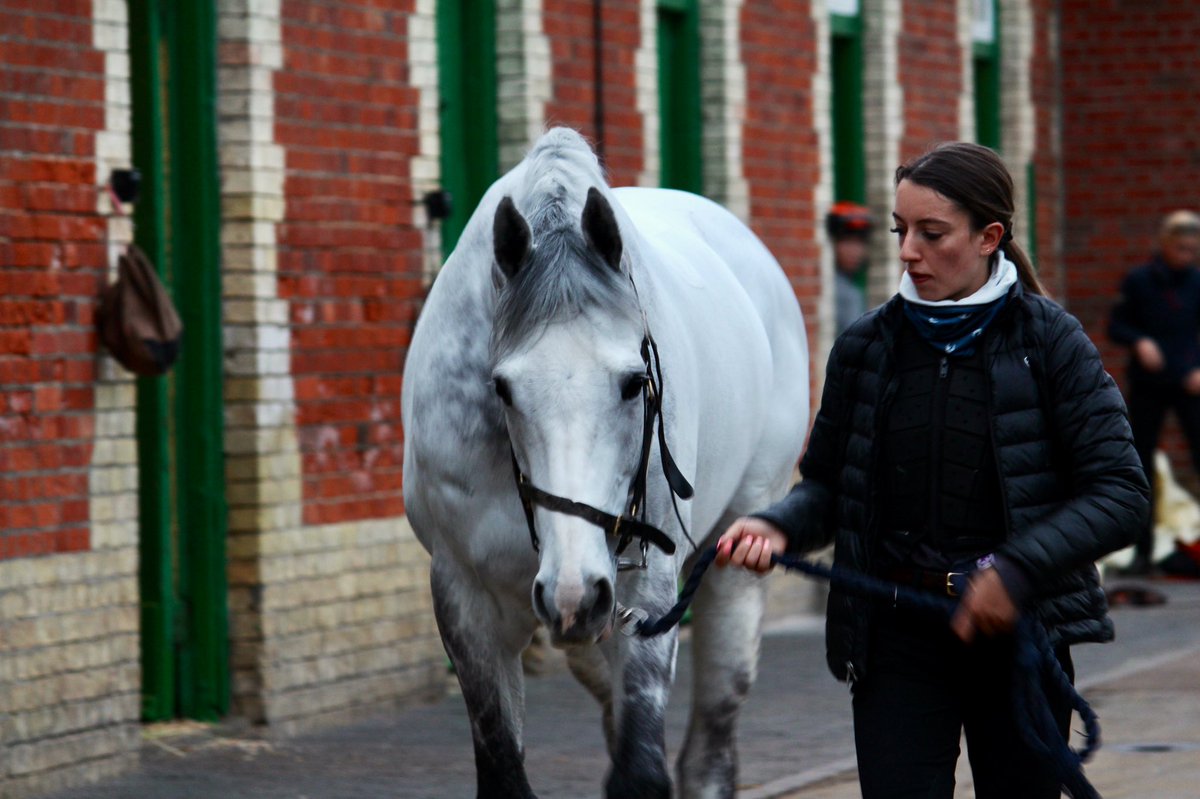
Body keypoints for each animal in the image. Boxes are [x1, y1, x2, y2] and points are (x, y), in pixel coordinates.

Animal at [401, 127, 809, 798]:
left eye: (633, 382)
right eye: (502, 387)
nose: (575, 592)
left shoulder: (646, 594)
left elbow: (640, 770)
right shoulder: (467, 600)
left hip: (731, 563)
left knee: (708, 757)